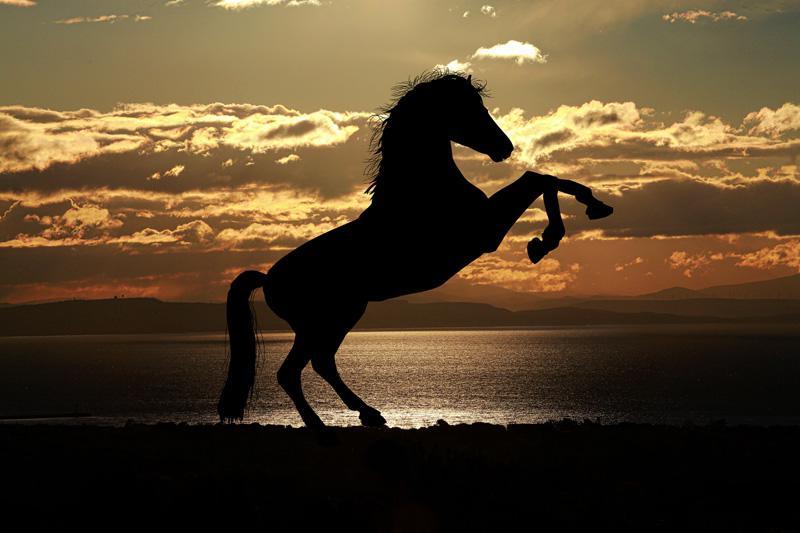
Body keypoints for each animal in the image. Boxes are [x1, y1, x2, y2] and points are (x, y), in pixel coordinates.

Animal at [218, 71, 613, 428]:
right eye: (469, 108)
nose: (505, 148)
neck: (422, 191)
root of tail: (268, 279)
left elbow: (545, 179)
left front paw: (592, 208)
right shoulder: (484, 231)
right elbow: (538, 179)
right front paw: (547, 239)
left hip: (336, 318)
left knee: (319, 363)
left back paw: (368, 415)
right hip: (325, 320)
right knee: (296, 370)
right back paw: (325, 425)